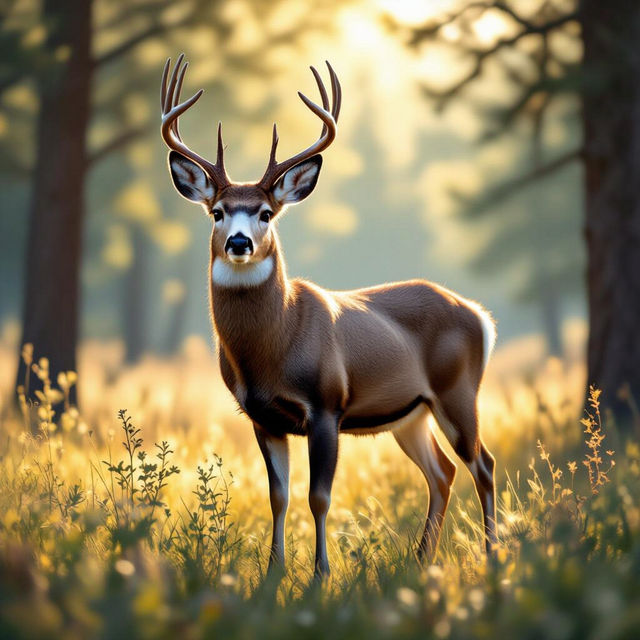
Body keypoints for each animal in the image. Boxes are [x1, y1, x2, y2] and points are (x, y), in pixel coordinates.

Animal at [160, 54, 498, 579]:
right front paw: (273, 572)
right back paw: (421, 559)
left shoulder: (326, 405)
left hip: (458, 390)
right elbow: (278, 497)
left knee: (483, 465)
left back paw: (492, 555)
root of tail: (481, 317)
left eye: (265, 213)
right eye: (217, 212)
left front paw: (320, 574)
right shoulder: (263, 418)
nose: (239, 242)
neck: (274, 346)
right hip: (411, 412)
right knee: (442, 471)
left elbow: (319, 497)